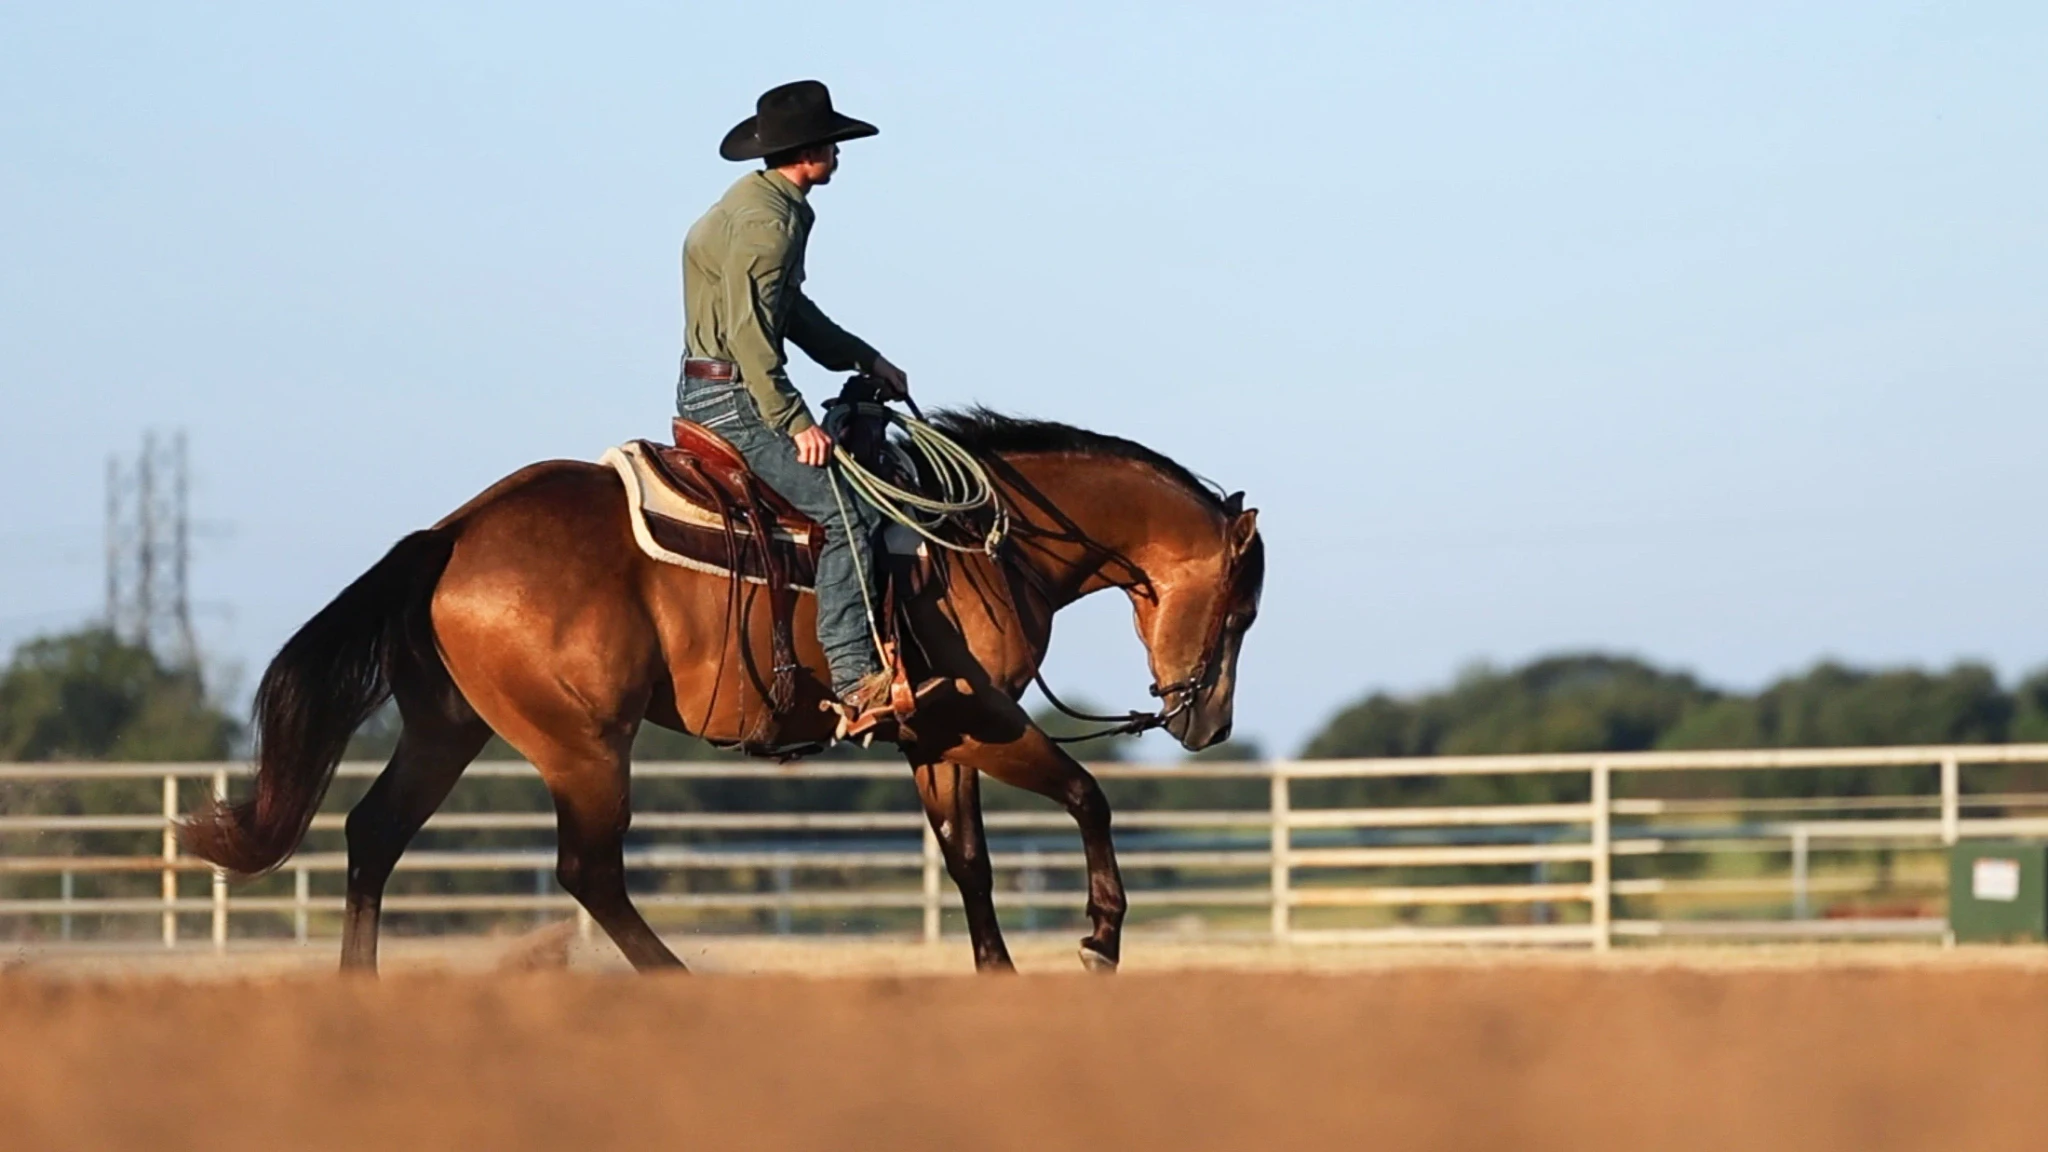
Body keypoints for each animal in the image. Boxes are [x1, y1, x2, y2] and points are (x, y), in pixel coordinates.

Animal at [179, 409, 1264, 974]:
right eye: (1240, 611)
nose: (1207, 723)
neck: (972, 540)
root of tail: (449, 533)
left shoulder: (932, 736)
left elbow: (969, 863)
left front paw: (999, 979)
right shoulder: (976, 711)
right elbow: (1086, 795)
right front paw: (1099, 938)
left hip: (447, 729)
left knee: (374, 836)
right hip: (583, 745)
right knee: (588, 872)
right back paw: (681, 988)